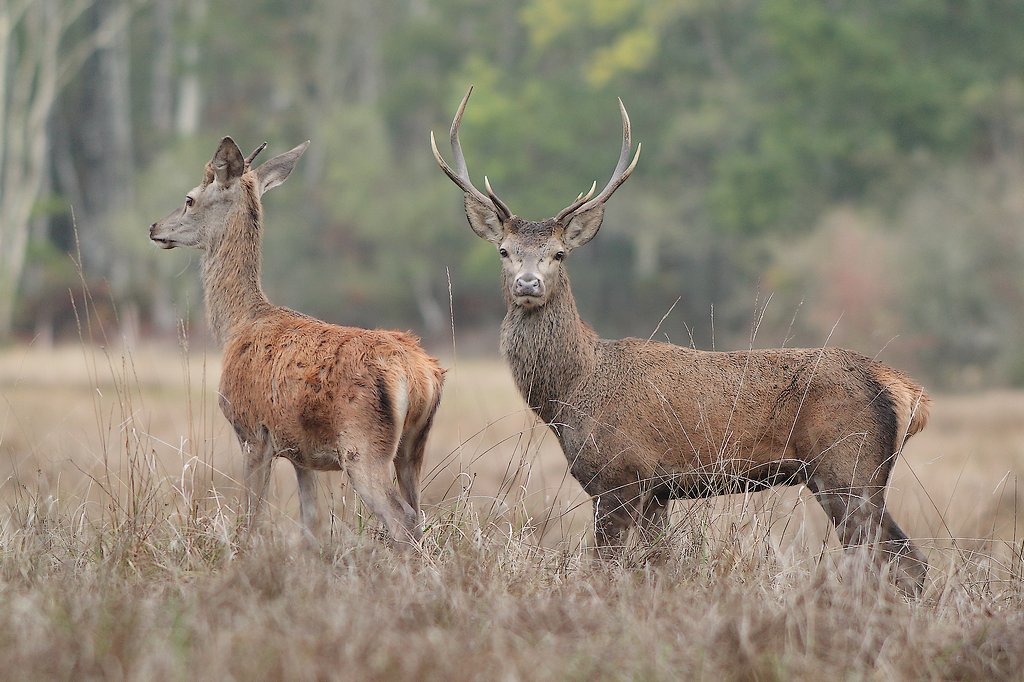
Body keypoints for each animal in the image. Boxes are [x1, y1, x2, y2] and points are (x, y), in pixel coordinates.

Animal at [150, 137, 444, 547]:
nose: (155, 227)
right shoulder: (301, 452)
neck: (237, 325)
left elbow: (251, 519)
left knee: (403, 519)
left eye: (190, 198)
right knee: (419, 514)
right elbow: (311, 524)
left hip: (363, 446)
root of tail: (420, 375)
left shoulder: (253, 433)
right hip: (413, 447)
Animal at [432, 87, 930, 595]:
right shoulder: (658, 490)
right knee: (903, 560)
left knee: (892, 559)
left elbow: (605, 567)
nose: (528, 283)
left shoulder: (619, 475)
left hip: (848, 465)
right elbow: (658, 564)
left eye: (558, 253)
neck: (570, 393)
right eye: (504, 251)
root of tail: (905, 390)